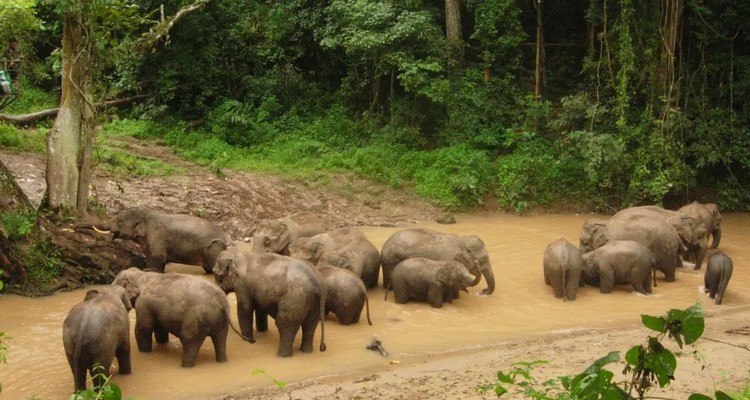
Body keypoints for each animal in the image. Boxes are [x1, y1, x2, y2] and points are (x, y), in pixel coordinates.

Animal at [81, 205, 234, 274]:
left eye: (120, 221)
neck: (147, 215)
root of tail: (225, 238)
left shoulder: (157, 236)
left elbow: (158, 257)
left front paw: (149, 271)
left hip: (213, 249)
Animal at [112, 268, 247, 368]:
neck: (141, 275)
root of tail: (221, 301)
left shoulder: (143, 305)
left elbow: (143, 330)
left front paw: (145, 353)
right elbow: (161, 329)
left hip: (195, 321)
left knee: (190, 342)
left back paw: (185, 366)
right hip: (222, 322)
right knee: (220, 340)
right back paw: (222, 361)